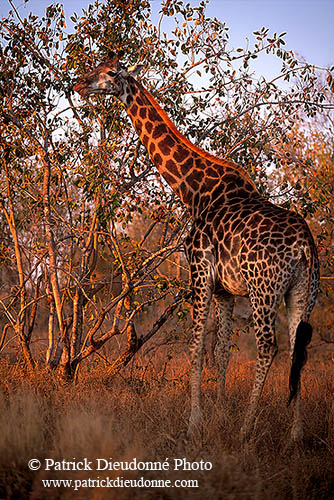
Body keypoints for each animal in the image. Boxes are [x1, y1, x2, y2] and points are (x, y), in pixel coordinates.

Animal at [74, 52, 320, 440]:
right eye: (96, 66)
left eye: (111, 73)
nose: (80, 84)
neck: (194, 191)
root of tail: (305, 246)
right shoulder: (225, 289)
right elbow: (220, 352)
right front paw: (218, 414)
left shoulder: (200, 271)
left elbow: (195, 346)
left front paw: (195, 422)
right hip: (302, 291)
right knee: (299, 347)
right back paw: (294, 436)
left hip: (264, 289)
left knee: (269, 346)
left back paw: (246, 431)